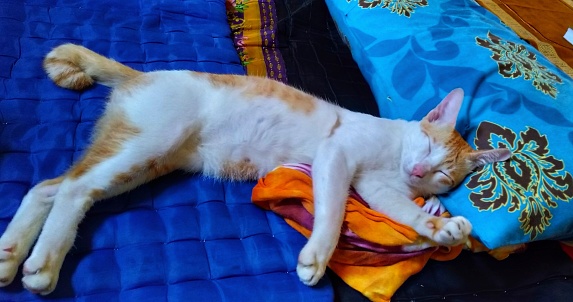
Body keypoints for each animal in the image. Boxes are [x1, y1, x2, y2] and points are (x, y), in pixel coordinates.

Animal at [0, 44, 510, 294]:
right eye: (427, 143)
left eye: (444, 174)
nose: (421, 172)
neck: (392, 155)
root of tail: (142, 75)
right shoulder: (335, 158)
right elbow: (332, 215)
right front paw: (316, 258)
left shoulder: (378, 190)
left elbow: (407, 213)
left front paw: (441, 228)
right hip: (148, 145)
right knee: (73, 189)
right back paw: (43, 264)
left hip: (143, 162)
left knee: (51, 187)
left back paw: (11, 254)